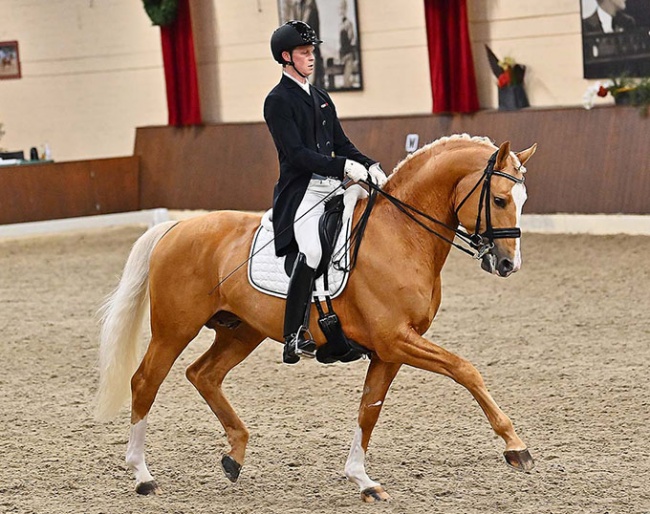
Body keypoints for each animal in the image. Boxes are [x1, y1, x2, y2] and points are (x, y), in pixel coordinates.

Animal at [93, 132, 536, 500]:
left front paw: (362, 479)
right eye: (499, 200)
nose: (508, 264)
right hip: (174, 330)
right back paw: (143, 475)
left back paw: (235, 454)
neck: (401, 234)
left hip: (241, 332)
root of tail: (176, 228)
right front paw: (515, 445)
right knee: (145, 382)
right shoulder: (396, 339)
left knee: (204, 375)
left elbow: (368, 409)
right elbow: (465, 370)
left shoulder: (390, 350)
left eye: (523, 201)